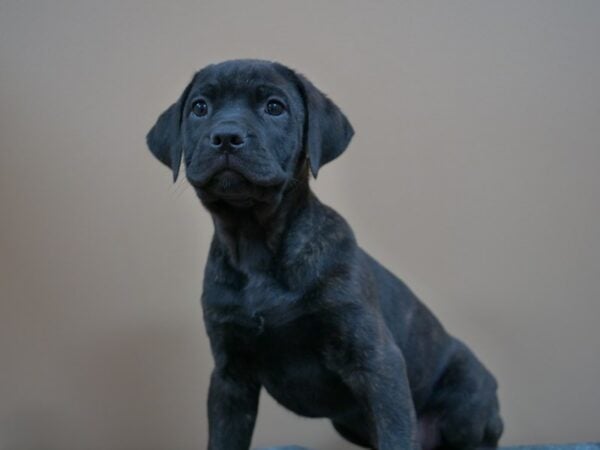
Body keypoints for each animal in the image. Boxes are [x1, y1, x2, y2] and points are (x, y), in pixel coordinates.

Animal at [146, 59, 502, 450]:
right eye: (199, 107)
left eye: (274, 107)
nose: (226, 136)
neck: (255, 243)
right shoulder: (230, 377)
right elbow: (224, 440)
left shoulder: (376, 360)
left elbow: (396, 433)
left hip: (467, 396)